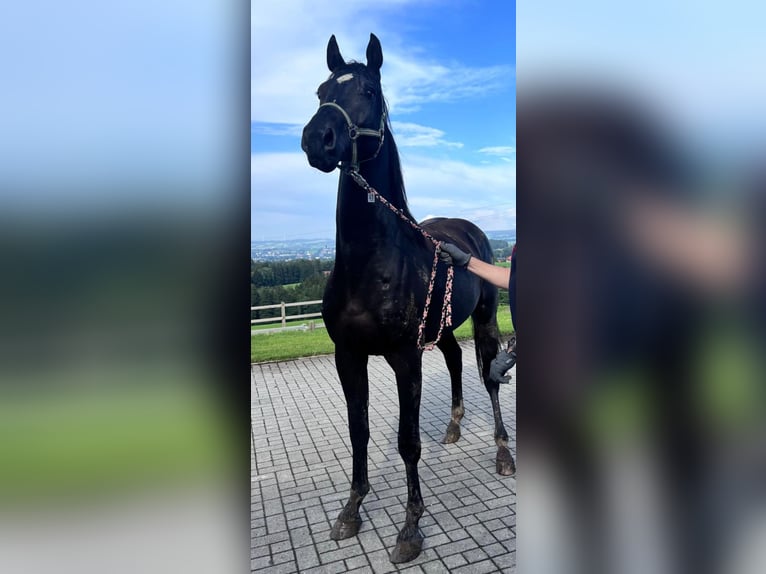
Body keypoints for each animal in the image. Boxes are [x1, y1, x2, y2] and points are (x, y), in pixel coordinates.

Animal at [304, 33, 512, 564]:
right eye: (320, 91)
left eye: (369, 91)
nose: (317, 139)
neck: (371, 264)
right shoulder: (348, 355)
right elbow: (358, 432)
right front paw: (352, 510)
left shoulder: (404, 358)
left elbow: (407, 442)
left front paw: (411, 527)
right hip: (442, 329)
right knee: (456, 360)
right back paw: (455, 426)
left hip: (485, 320)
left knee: (489, 375)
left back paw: (503, 451)